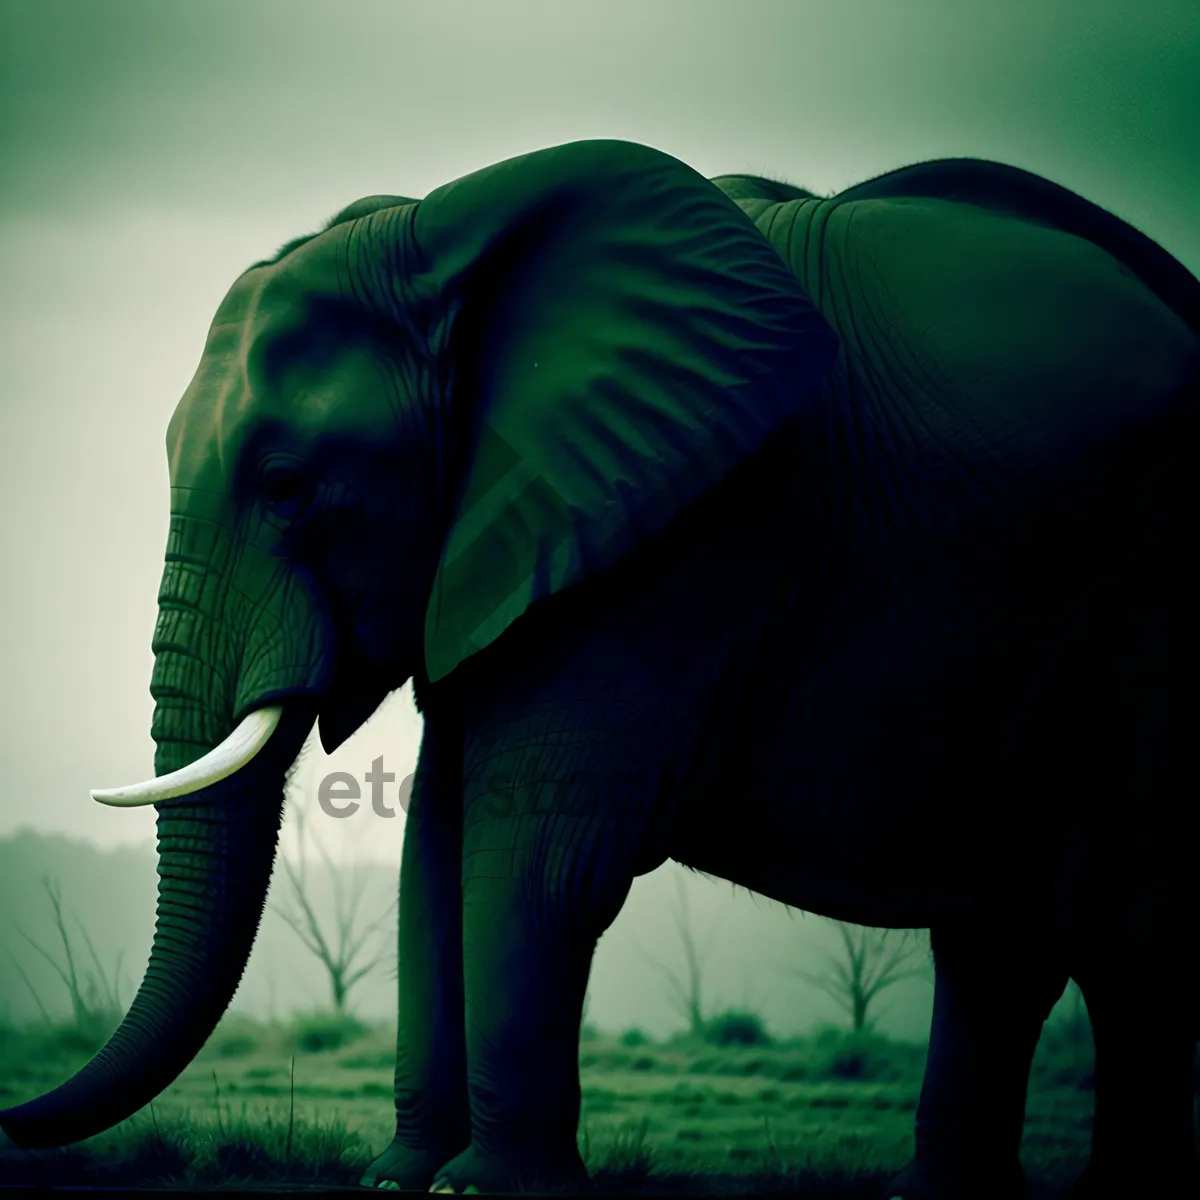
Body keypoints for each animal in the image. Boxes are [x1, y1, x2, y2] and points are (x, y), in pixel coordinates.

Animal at [0, 142, 1195, 1200]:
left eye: (288, 484)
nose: (12, 1120)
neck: (450, 249)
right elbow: (437, 849)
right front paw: (401, 1180)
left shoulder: (690, 538)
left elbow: (537, 854)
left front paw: (483, 1188)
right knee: (1019, 937)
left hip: (1136, 612)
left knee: (1099, 924)